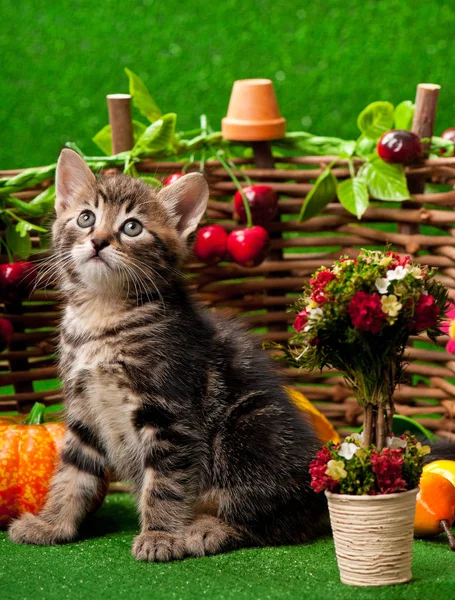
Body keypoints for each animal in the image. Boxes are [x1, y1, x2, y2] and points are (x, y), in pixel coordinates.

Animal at [8, 150, 326, 564]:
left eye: (131, 227)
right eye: (86, 217)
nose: (98, 241)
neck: (102, 315)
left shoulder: (171, 413)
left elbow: (165, 482)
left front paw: (160, 535)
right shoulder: (83, 408)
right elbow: (73, 472)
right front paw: (52, 523)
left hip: (248, 431)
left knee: (276, 521)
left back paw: (209, 529)